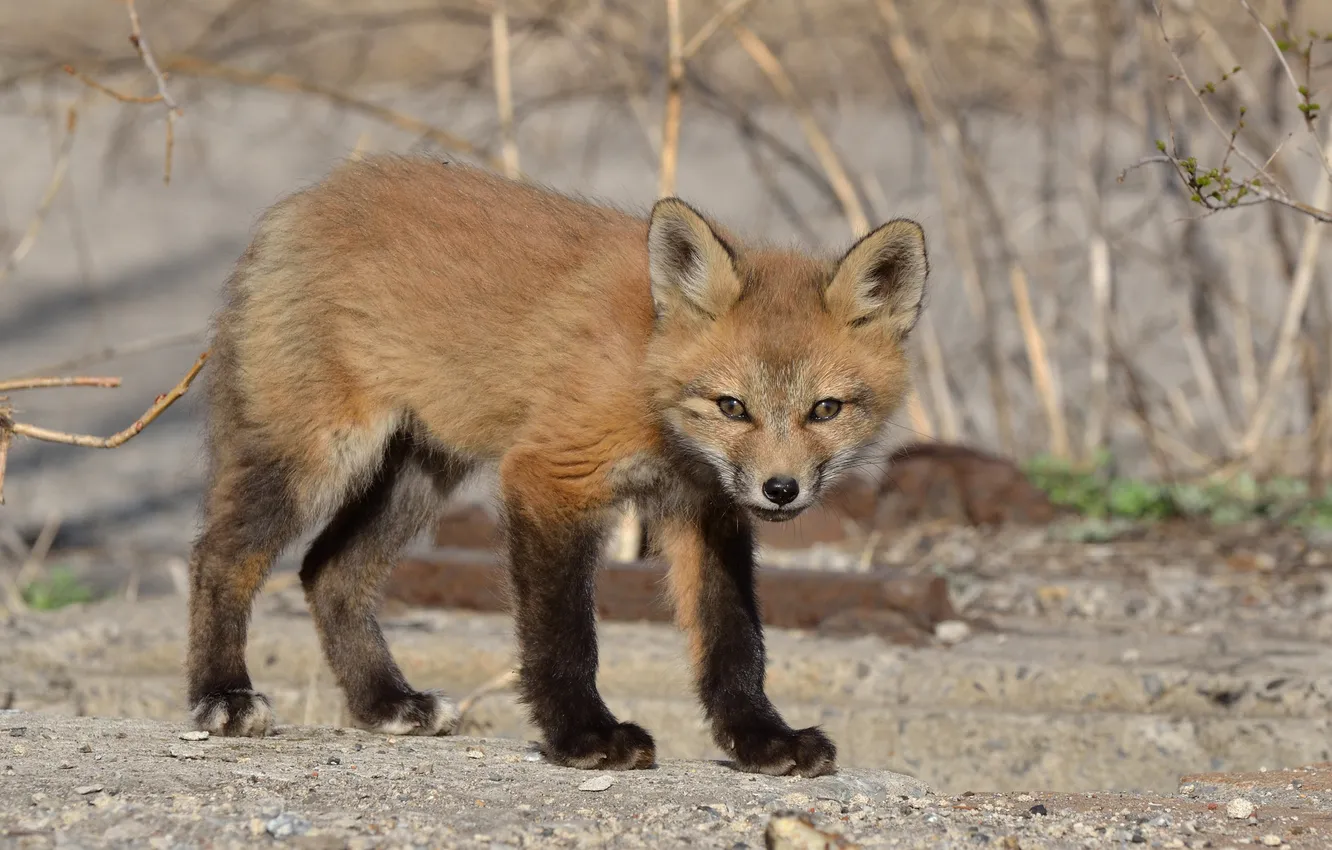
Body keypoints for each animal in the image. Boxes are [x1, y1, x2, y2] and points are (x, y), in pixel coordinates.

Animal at [186, 155, 929, 778]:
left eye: (825, 409)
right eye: (732, 406)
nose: (781, 490)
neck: (647, 376)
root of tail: (303, 200)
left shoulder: (704, 508)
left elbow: (734, 643)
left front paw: (762, 741)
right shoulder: (551, 477)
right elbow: (564, 636)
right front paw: (584, 737)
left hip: (421, 473)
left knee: (328, 572)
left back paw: (385, 703)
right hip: (317, 457)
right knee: (220, 558)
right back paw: (222, 694)